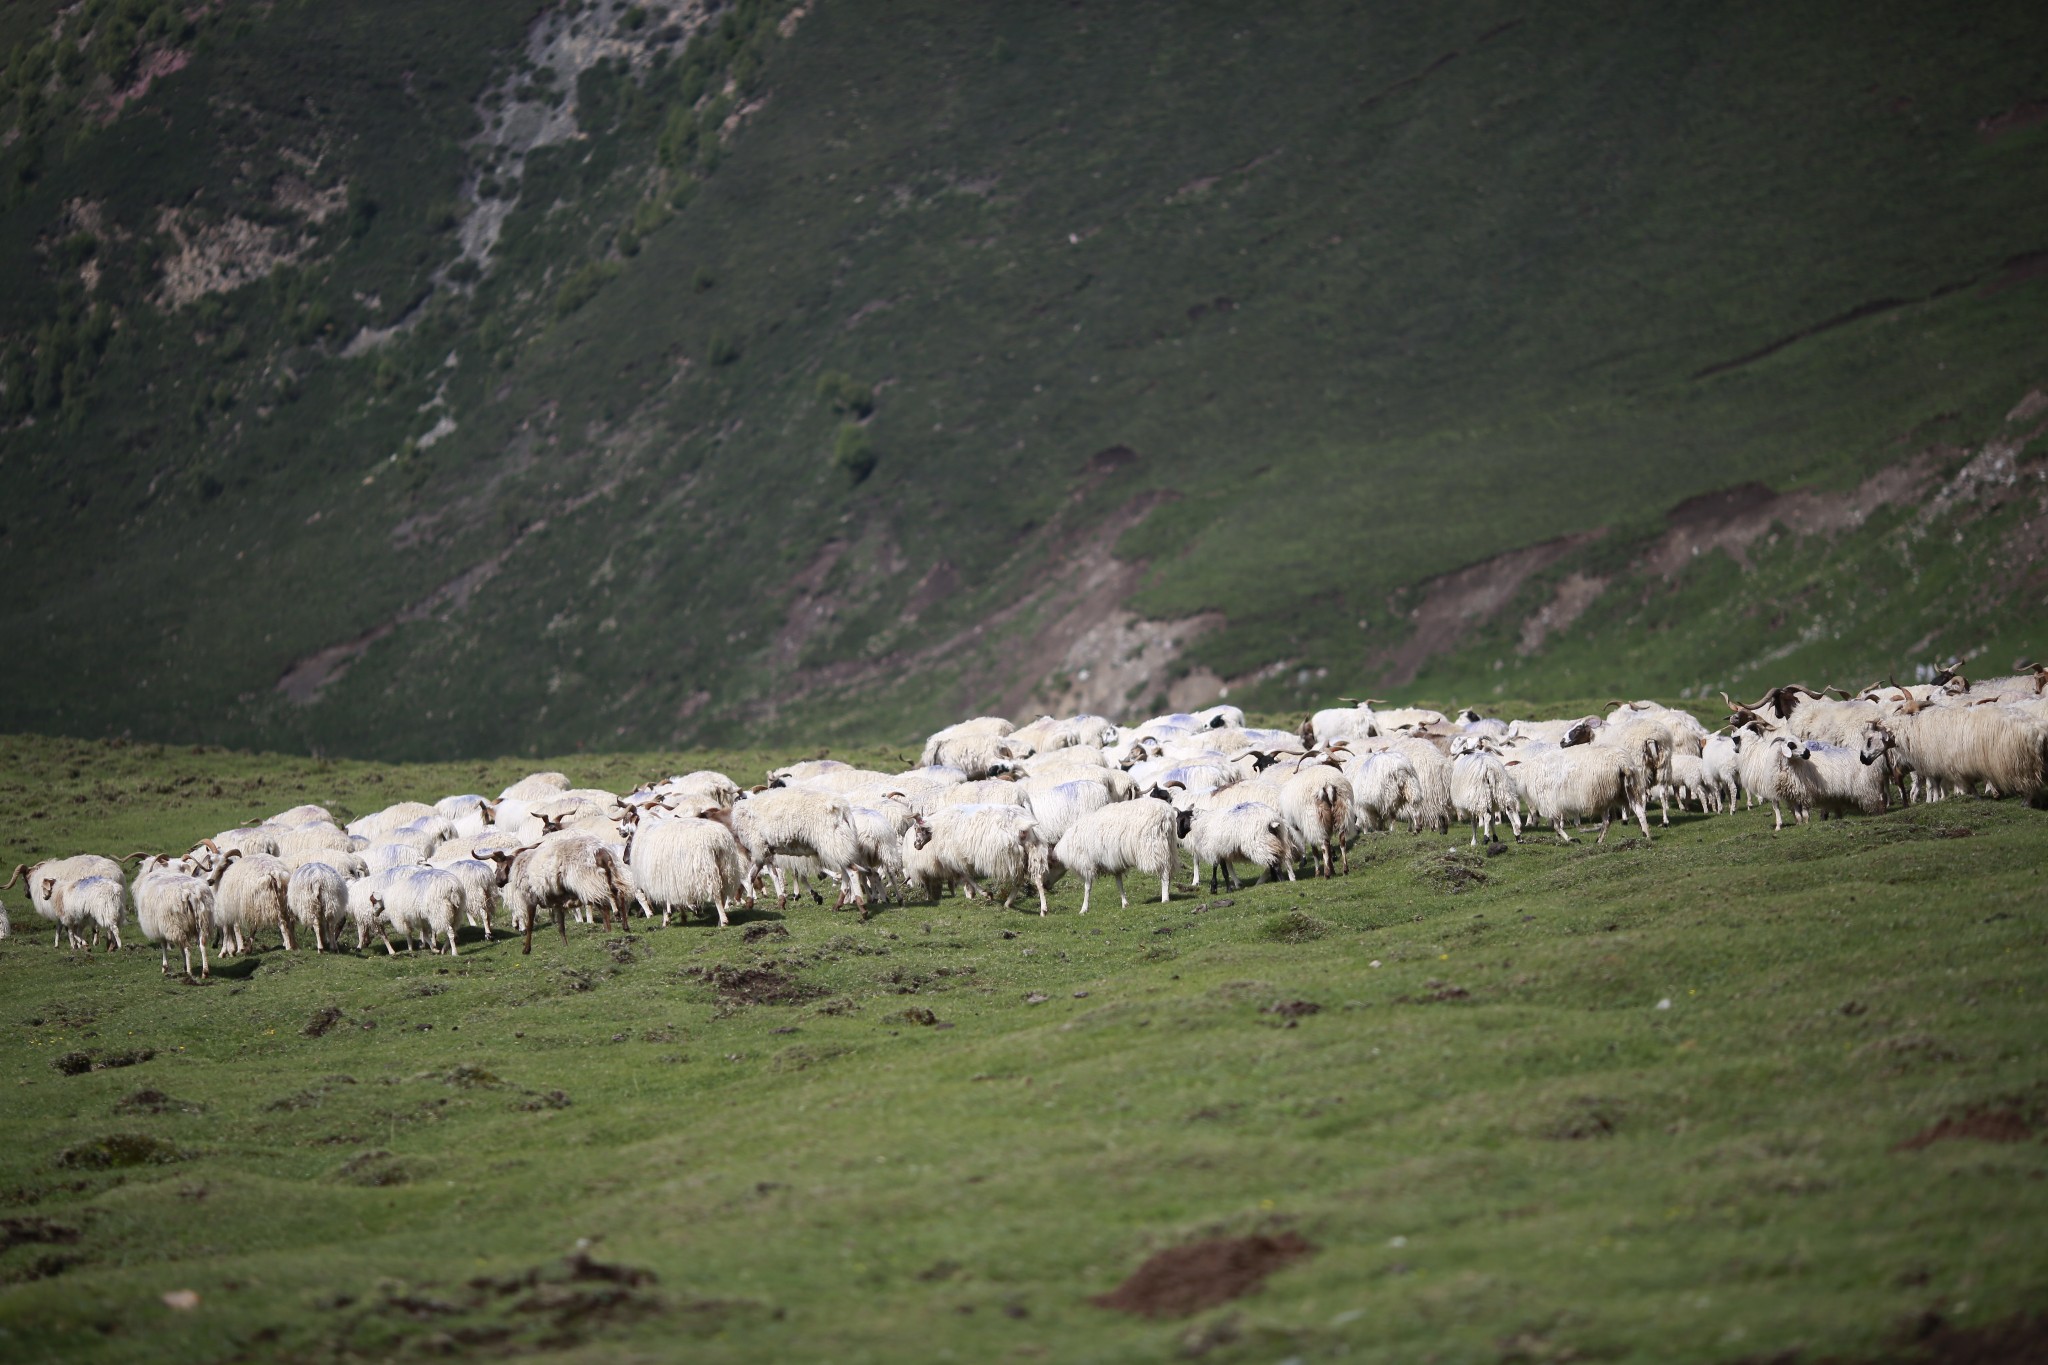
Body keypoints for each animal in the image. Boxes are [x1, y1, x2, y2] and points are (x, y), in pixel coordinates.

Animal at [1048, 802, 1179, 916]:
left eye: (1049, 866)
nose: (1045, 886)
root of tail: (1167, 814)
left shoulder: (1087, 864)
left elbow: (1087, 887)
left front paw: (1084, 908)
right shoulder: (1114, 863)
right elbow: (1119, 883)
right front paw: (1125, 903)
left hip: (1155, 847)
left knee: (1165, 873)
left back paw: (1165, 898)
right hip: (1170, 846)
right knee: (1169, 871)